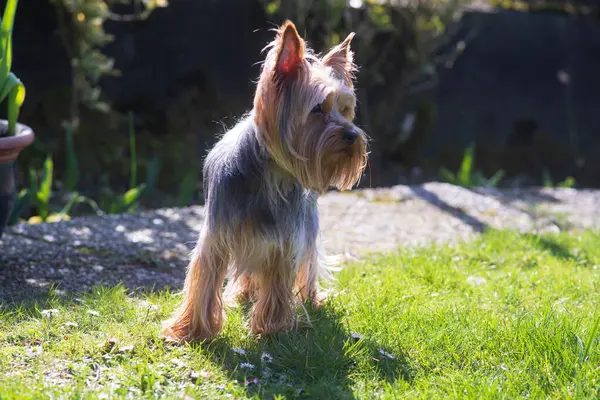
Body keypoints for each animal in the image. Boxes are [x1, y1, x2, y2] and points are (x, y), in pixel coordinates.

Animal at [164, 21, 368, 340]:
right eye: (317, 109)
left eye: (345, 110)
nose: (352, 135)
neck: (273, 175)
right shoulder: (218, 234)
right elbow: (205, 280)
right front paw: (189, 330)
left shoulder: (284, 239)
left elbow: (278, 281)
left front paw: (272, 327)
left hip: (306, 223)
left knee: (308, 262)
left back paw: (310, 298)